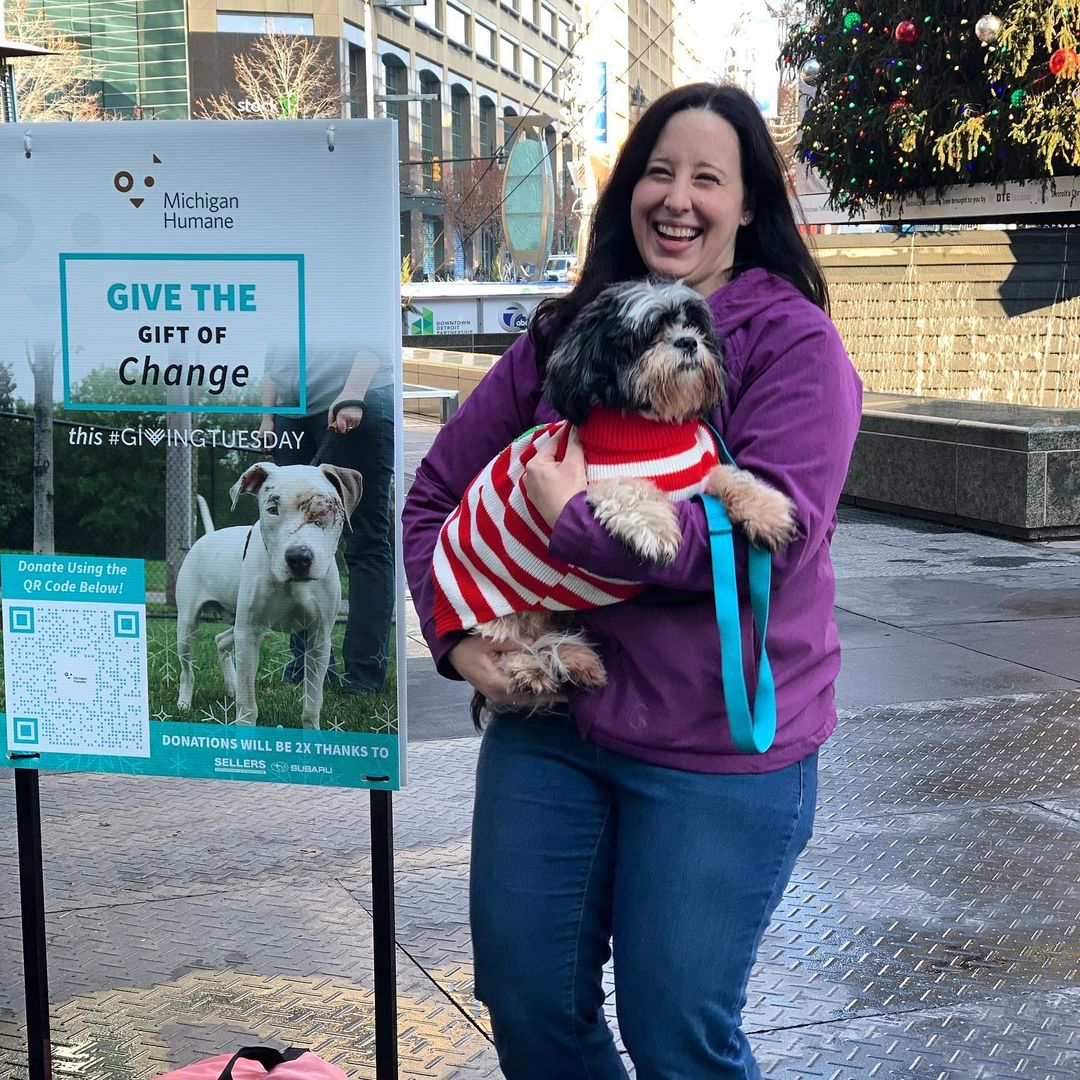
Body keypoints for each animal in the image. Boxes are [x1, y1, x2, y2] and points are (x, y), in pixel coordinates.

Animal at [434, 278, 799, 725]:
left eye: (693, 325)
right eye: (647, 335)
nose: (687, 342)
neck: (649, 429)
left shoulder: (699, 472)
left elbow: (731, 475)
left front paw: (766, 508)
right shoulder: (597, 480)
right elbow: (630, 489)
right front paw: (657, 530)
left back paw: (576, 662)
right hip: (504, 611)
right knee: (512, 647)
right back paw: (536, 670)